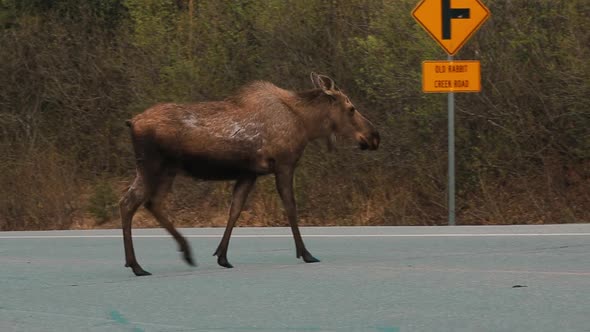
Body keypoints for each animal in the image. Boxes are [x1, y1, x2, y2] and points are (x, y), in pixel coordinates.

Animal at [121, 72, 382, 274]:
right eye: (351, 108)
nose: (374, 136)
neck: (307, 125)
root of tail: (131, 121)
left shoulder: (249, 173)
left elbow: (235, 210)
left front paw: (222, 256)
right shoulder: (284, 164)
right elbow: (291, 207)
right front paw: (306, 253)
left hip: (167, 170)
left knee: (150, 203)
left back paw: (181, 252)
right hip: (151, 166)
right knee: (129, 202)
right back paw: (137, 265)